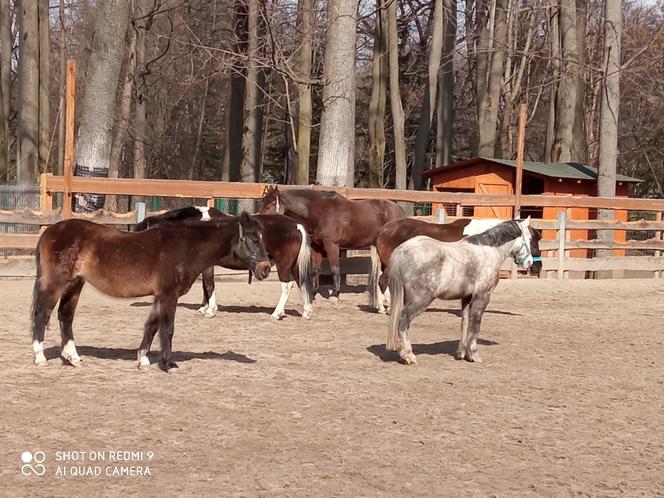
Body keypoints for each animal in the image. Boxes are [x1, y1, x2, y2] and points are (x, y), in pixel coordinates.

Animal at [31, 212, 270, 372]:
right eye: (254, 239)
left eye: (261, 237)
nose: (266, 269)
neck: (187, 247)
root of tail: (50, 231)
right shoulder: (169, 294)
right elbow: (168, 329)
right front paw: (169, 363)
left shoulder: (160, 296)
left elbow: (152, 326)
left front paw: (143, 359)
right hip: (56, 283)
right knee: (42, 315)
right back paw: (39, 357)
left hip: (75, 284)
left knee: (65, 316)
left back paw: (73, 357)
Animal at [260, 187, 404, 300]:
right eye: (263, 202)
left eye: (272, 203)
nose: (261, 220)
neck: (320, 212)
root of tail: (399, 210)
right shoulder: (316, 246)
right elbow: (315, 270)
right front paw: (313, 292)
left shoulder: (331, 245)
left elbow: (334, 269)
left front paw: (335, 294)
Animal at [390, 218, 540, 366]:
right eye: (530, 238)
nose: (529, 263)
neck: (488, 252)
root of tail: (403, 250)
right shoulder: (482, 296)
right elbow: (475, 324)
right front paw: (473, 354)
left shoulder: (466, 298)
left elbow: (465, 322)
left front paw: (462, 353)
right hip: (420, 300)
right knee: (403, 321)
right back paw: (408, 355)